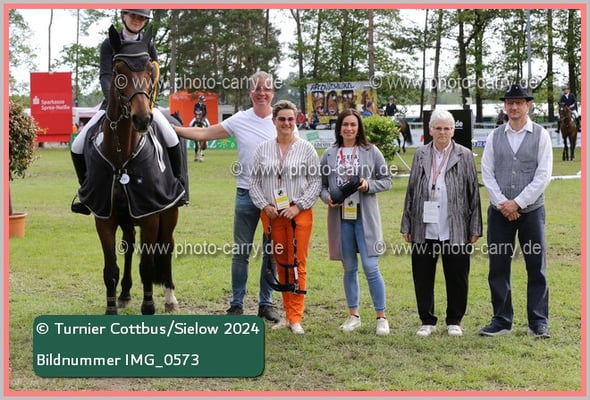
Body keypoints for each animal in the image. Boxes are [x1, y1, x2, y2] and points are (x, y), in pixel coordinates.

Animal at [78, 25, 185, 315]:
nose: (142, 119)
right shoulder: (104, 217)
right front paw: (111, 309)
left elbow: (147, 266)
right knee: (128, 245)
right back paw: (125, 293)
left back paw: (170, 296)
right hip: (127, 217)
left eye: (150, 70)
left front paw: (149, 307)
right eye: (118, 72)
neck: (121, 154)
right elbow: (110, 268)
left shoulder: (150, 214)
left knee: (166, 246)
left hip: (169, 211)